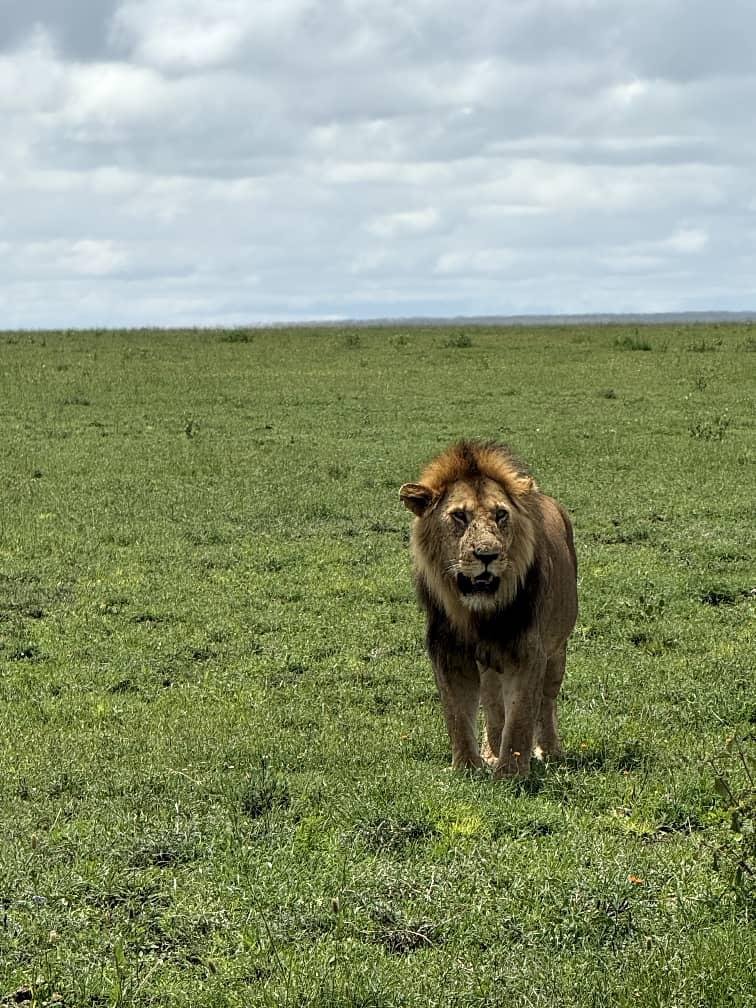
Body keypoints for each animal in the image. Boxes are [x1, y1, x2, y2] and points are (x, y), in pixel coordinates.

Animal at [400, 440, 577, 778]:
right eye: (459, 516)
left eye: (500, 515)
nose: (487, 555)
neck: (476, 615)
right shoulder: (449, 653)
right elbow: (457, 716)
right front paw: (467, 768)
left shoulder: (527, 652)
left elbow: (521, 717)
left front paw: (511, 773)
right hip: (490, 664)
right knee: (493, 703)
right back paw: (490, 751)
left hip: (557, 649)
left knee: (546, 702)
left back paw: (549, 751)